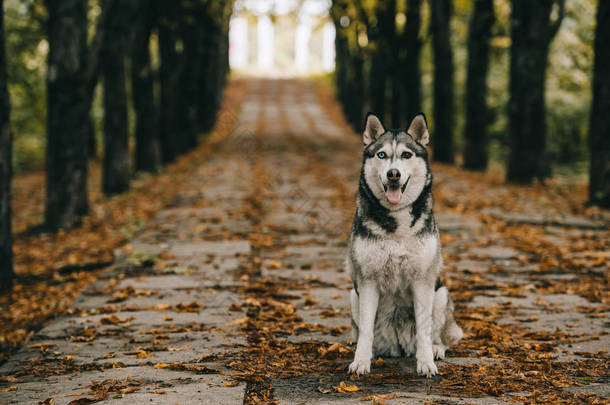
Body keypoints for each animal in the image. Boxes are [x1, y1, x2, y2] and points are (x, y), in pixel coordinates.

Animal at [346, 111, 460, 376]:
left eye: (406, 155)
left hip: (441, 294)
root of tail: (398, 346)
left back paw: (437, 348)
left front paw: (426, 362)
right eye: (381, 155)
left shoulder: (423, 281)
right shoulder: (367, 281)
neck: (396, 221)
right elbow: (365, 329)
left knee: (438, 335)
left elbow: (424, 330)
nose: (393, 173)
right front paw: (361, 361)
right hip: (353, 295)